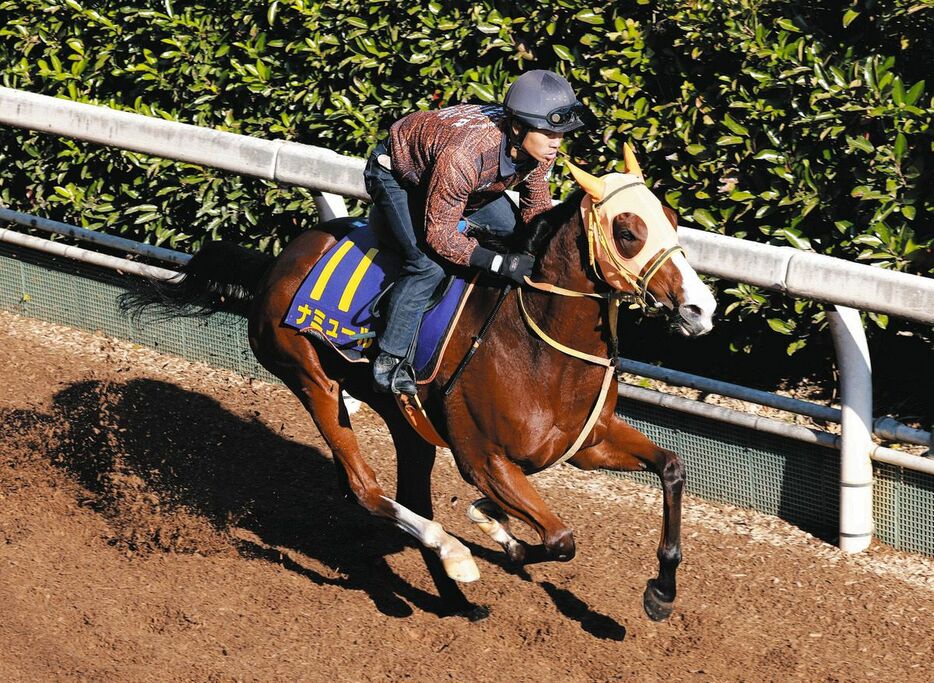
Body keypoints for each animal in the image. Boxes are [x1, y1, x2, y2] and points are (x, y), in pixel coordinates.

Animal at [124, 147, 720, 624]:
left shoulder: (586, 444)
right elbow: (558, 539)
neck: (537, 346)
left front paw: (661, 593)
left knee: (408, 492)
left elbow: (672, 468)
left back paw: (456, 598)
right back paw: (453, 559)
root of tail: (280, 261)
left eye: (672, 220)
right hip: (311, 380)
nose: (702, 308)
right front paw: (496, 538)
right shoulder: (484, 460)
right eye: (628, 231)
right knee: (363, 488)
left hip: (403, 416)